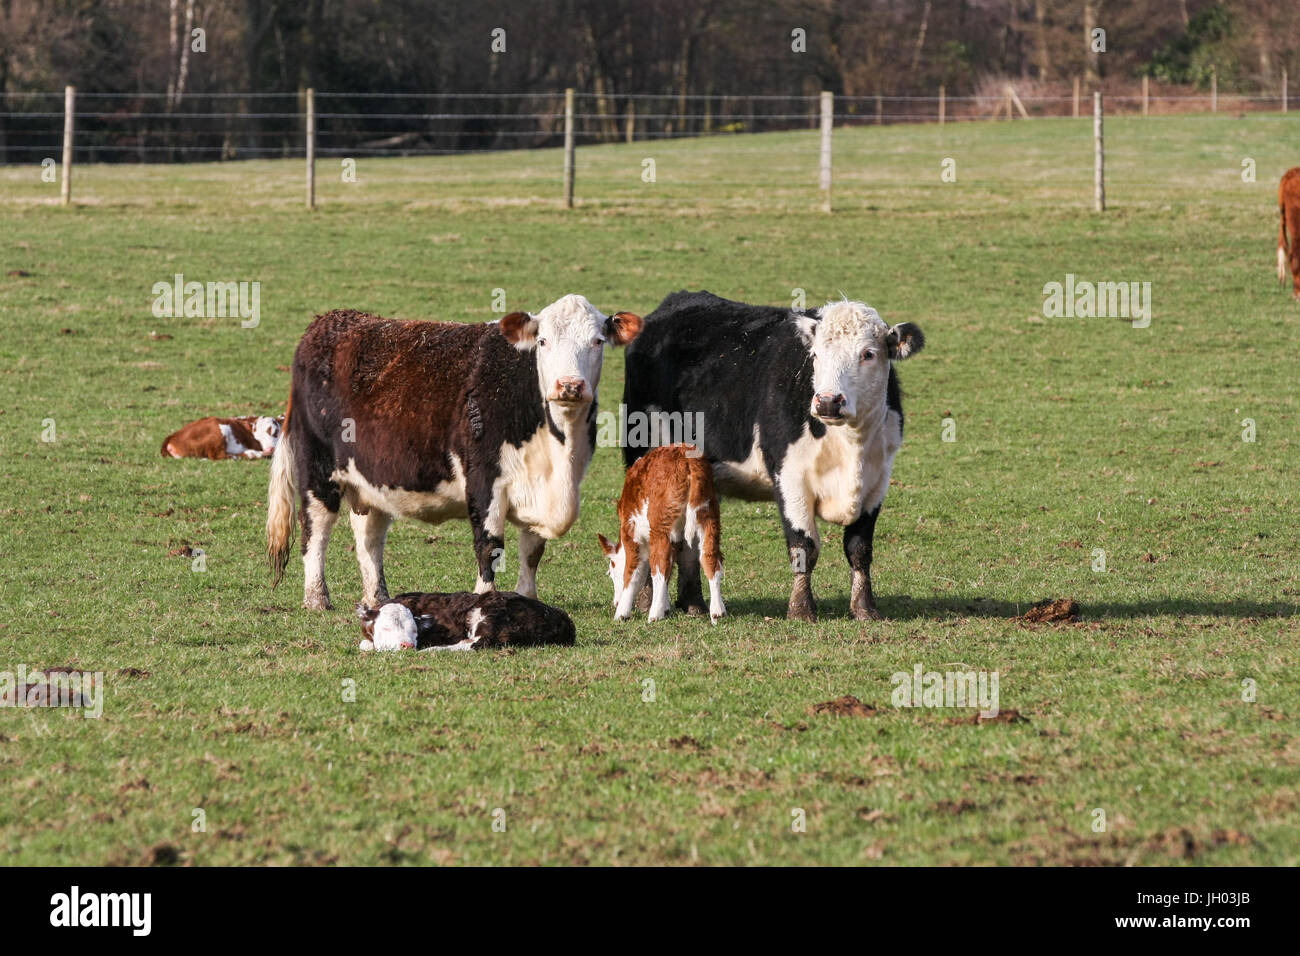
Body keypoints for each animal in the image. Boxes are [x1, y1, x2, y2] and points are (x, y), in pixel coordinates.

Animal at [266, 295, 642, 608]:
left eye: (597, 341)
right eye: (543, 341)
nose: (570, 385)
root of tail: (331, 321)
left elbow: (532, 551)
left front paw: (527, 598)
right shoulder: (484, 480)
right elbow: (489, 545)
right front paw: (486, 599)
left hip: (370, 479)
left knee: (369, 537)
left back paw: (378, 598)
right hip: (318, 471)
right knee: (315, 530)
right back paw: (317, 598)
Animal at [358, 595, 577, 655]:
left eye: (414, 631)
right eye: (386, 628)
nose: (408, 646)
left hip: (487, 614)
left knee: (477, 643)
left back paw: (433, 650)